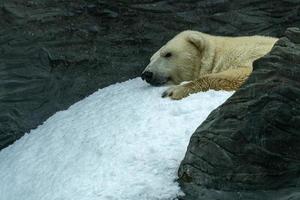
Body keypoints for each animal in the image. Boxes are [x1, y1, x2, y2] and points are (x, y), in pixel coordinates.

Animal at [142, 30, 278, 99]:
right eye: (151, 59)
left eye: (168, 54)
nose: (146, 74)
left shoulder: (250, 54)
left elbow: (242, 74)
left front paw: (172, 91)